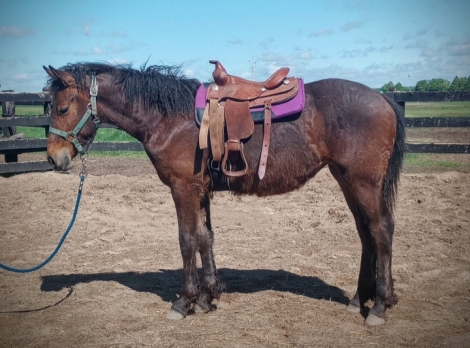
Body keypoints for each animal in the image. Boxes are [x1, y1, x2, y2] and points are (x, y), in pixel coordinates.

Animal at [43, 62, 404, 326]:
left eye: (61, 109)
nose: (53, 159)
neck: (169, 117)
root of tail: (383, 99)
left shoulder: (183, 189)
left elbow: (187, 240)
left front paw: (183, 302)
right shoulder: (200, 190)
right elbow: (206, 239)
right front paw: (206, 298)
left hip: (363, 182)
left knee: (382, 231)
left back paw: (378, 308)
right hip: (347, 179)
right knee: (366, 233)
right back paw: (359, 299)